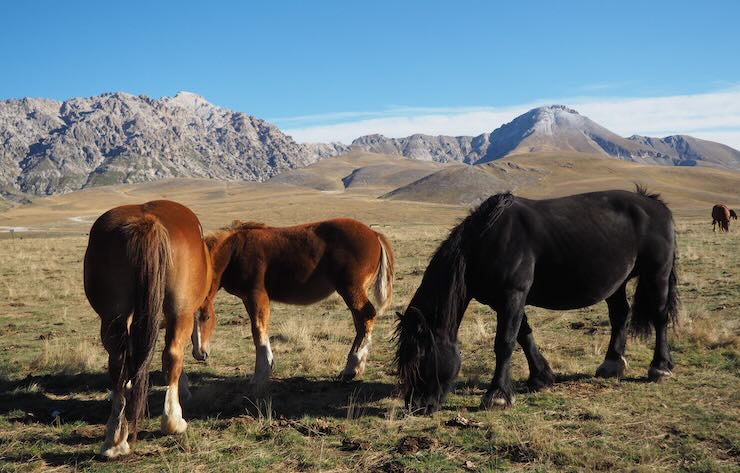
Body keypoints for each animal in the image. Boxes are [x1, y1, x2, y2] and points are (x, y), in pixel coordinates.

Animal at [84, 199, 211, 458]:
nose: (203, 353)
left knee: (118, 362)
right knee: (172, 355)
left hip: (113, 317)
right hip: (180, 312)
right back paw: (173, 421)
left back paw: (114, 439)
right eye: (208, 316)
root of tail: (147, 222)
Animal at [195, 219, 394, 386]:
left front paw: (260, 374)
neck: (234, 251)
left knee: (366, 316)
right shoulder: (247, 298)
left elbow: (258, 329)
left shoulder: (256, 295)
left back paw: (350, 369)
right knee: (360, 322)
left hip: (351, 289)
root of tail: (374, 234)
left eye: (206, 317)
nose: (199, 354)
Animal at [396, 186, 680, 412]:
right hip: (617, 283)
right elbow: (524, 335)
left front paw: (497, 396)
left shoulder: (513, 295)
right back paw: (612, 365)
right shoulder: (504, 300)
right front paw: (541, 377)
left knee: (659, 316)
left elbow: (505, 342)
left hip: (657, 274)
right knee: (621, 314)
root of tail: (655, 204)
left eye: (421, 358)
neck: (487, 241)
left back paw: (660, 368)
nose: (417, 406)